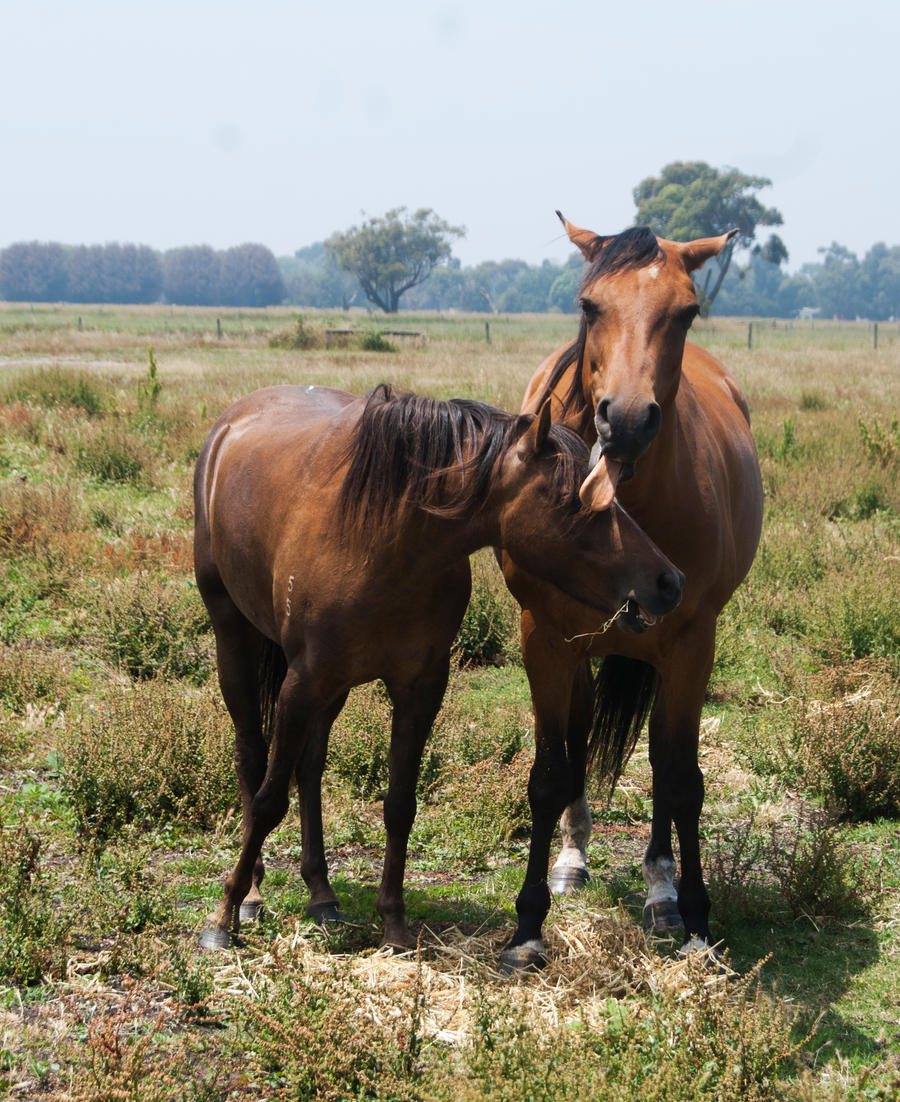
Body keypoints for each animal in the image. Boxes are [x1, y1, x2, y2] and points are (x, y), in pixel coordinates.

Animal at [191, 383, 682, 952]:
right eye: (577, 502)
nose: (670, 581)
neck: (383, 542)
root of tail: (232, 421)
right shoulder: (300, 683)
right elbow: (270, 801)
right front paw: (222, 916)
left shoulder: (419, 688)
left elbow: (399, 804)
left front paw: (395, 924)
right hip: (235, 638)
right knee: (252, 759)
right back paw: (250, 896)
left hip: (332, 686)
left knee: (310, 767)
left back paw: (321, 893)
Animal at [495, 217, 762, 974]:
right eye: (590, 306)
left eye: (688, 311)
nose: (631, 419)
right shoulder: (544, 638)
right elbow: (549, 773)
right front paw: (528, 927)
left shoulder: (691, 644)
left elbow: (681, 781)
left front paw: (697, 920)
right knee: (581, 735)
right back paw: (573, 856)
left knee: (662, 767)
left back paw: (661, 888)